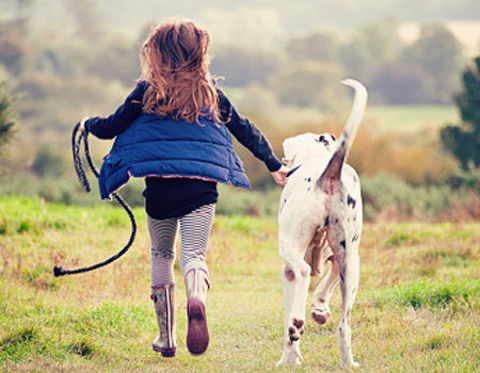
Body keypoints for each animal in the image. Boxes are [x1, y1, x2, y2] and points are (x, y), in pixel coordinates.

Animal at [276, 78, 366, 366]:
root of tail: (329, 173)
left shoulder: (287, 272)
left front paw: (289, 358)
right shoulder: (339, 260)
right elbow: (326, 285)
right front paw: (320, 310)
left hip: (289, 247)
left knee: (304, 273)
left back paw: (297, 323)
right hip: (352, 263)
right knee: (344, 325)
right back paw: (348, 363)